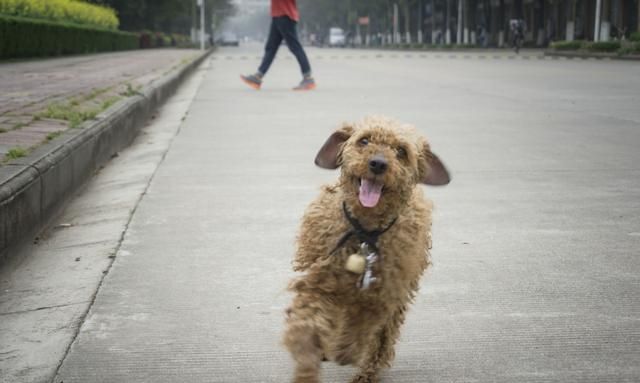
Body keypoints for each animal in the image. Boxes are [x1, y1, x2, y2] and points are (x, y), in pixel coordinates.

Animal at [284, 117, 450, 383]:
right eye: (364, 141)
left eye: (401, 151)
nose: (378, 163)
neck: (364, 233)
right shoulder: (320, 281)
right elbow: (307, 322)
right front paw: (308, 360)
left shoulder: (382, 295)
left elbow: (365, 325)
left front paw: (347, 349)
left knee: (382, 339)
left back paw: (365, 372)